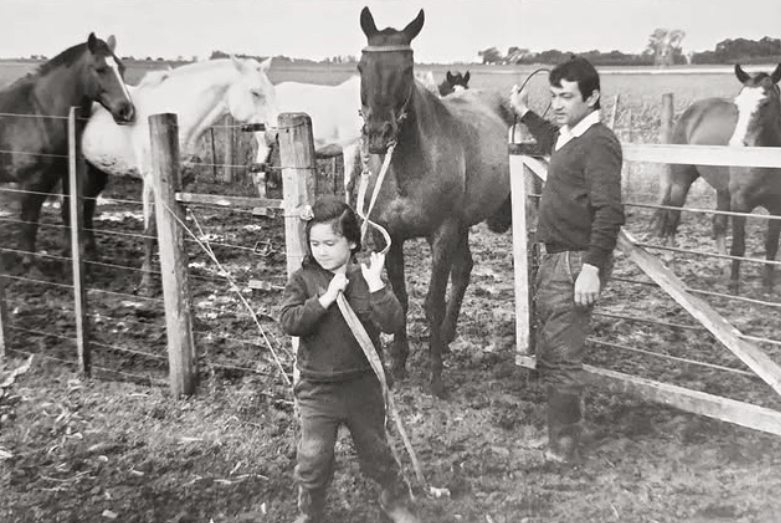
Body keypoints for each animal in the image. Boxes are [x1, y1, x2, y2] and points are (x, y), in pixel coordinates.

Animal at [0, 32, 134, 276]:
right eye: (100, 69)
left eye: (122, 67)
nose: (126, 111)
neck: (40, 113)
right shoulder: (33, 181)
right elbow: (30, 219)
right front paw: (30, 265)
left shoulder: (63, 174)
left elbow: (70, 213)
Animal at [81, 56, 278, 296]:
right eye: (255, 92)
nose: (275, 133)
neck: (179, 118)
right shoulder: (151, 183)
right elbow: (150, 232)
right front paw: (146, 283)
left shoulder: (185, 183)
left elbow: (180, 229)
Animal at [356, 7, 516, 398]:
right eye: (361, 66)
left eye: (408, 68)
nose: (379, 134)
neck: (408, 166)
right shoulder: (391, 237)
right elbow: (401, 297)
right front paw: (398, 364)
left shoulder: (442, 234)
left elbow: (432, 303)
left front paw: (435, 376)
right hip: (464, 226)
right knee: (465, 269)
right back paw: (445, 338)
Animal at [652, 64, 780, 292]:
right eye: (738, 105)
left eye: (765, 103)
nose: (737, 145)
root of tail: (691, 112)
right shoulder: (740, 204)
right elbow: (739, 245)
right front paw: (734, 286)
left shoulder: (777, 208)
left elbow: (771, 245)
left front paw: (767, 286)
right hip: (681, 182)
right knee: (673, 219)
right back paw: (671, 263)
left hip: (722, 190)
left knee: (718, 224)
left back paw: (723, 268)